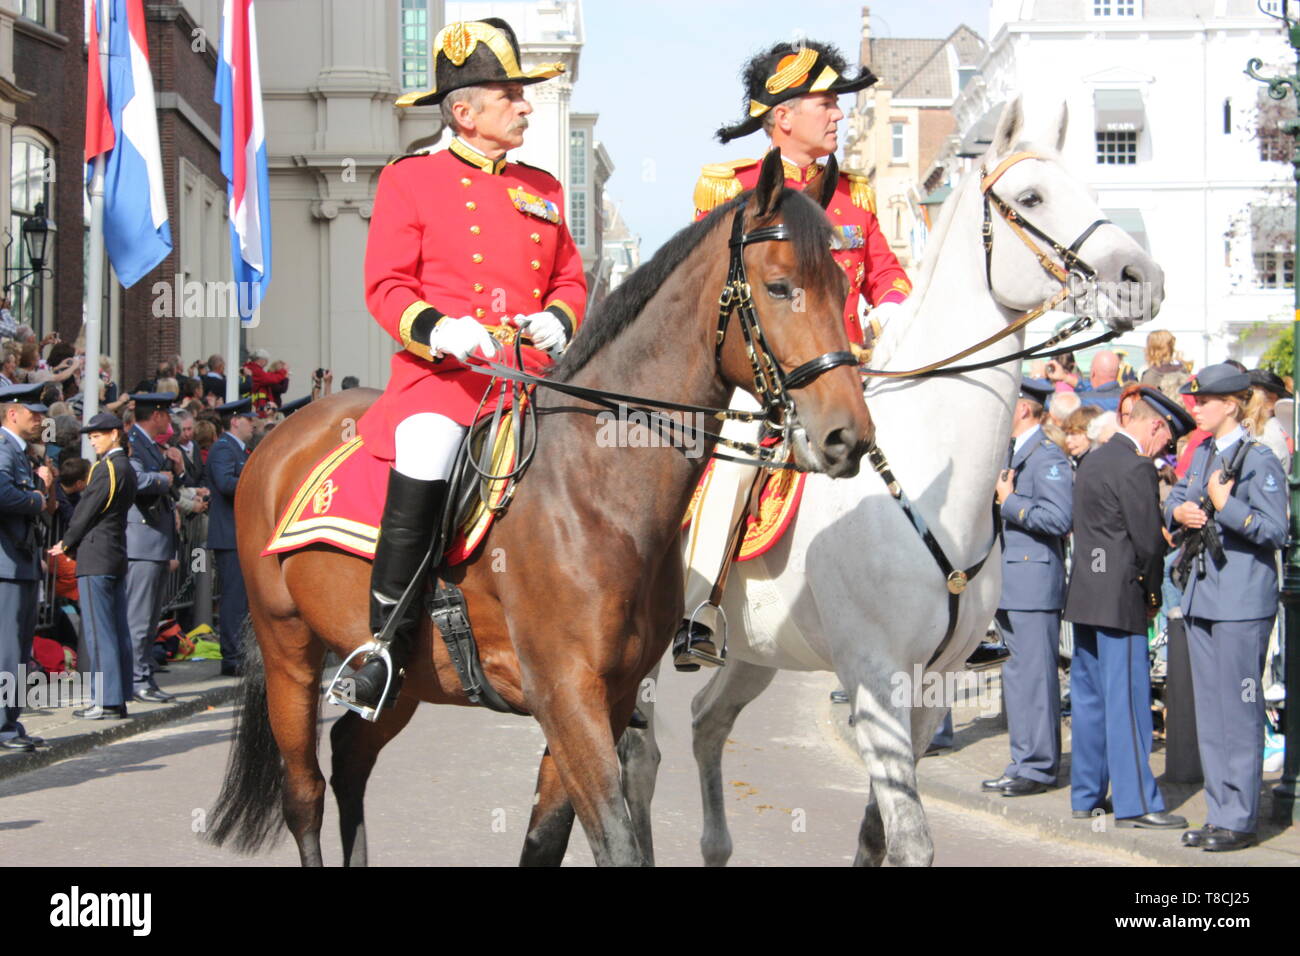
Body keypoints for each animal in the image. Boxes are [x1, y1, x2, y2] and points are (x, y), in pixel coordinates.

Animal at [205, 149, 873, 868]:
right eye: (779, 287)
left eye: (843, 285)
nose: (848, 435)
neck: (599, 488)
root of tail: (281, 435)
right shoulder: (566, 694)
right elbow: (616, 840)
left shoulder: (606, 699)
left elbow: (547, 840)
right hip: (288, 651)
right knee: (303, 792)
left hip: (405, 681)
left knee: (350, 759)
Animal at [618, 98, 1170, 868]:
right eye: (1032, 197)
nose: (1141, 276)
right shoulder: (876, 679)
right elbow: (909, 837)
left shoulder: (929, 686)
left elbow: (878, 833)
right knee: (638, 756)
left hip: (756, 651)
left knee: (705, 721)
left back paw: (717, 842)